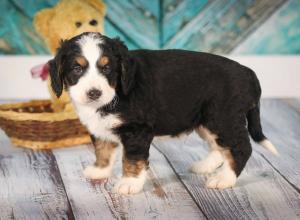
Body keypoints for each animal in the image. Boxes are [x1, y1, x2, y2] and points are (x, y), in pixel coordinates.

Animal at [49, 31, 278, 194]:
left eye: (107, 69)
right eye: (77, 69)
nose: (94, 93)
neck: (117, 93)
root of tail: (248, 73)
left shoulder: (137, 130)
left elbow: (132, 159)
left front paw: (129, 184)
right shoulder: (101, 128)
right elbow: (103, 149)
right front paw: (99, 171)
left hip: (222, 118)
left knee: (241, 148)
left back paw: (223, 179)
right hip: (206, 120)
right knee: (220, 147)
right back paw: (204, 166)